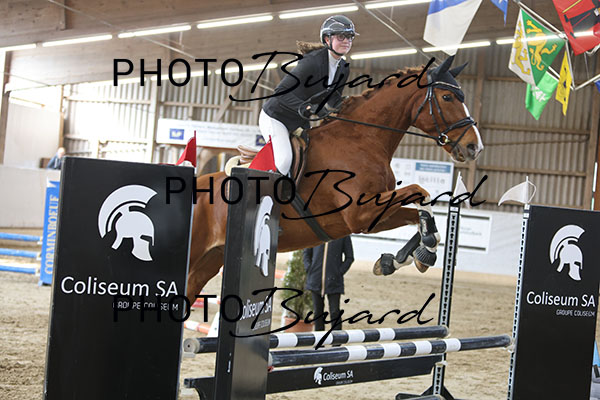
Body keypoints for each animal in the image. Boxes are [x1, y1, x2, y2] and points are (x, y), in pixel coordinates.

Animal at [186, 56, 484, 303]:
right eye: (447, 97)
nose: (474, 147)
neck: (363, 140)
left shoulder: (372, 218)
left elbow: (416, 213)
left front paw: (399, 259)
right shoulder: (360, 212)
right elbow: (420, 191)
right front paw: (427, 247)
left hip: (208, 262)